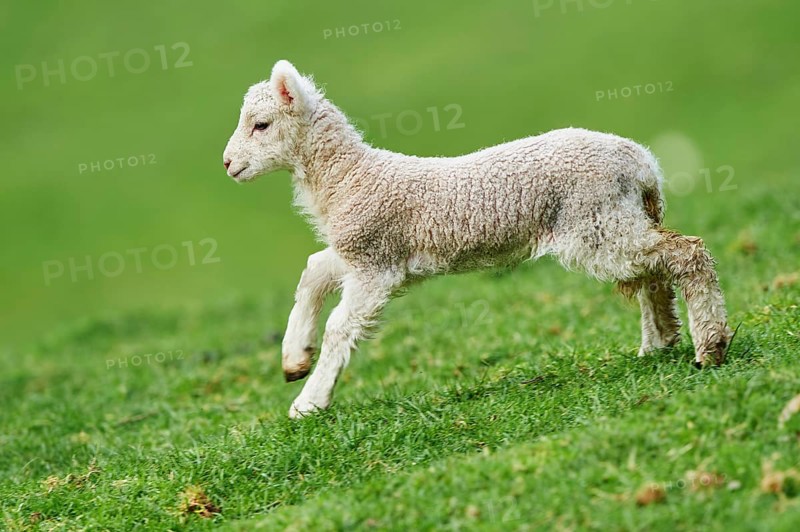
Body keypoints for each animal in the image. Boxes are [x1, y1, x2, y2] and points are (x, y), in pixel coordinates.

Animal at [223, 60, 732, 418]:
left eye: (261, 125)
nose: (227, 164)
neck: (349, 178)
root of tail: (643, 164)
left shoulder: (374, 263)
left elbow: (340, 328)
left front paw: (308, 403)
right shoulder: (361, 252)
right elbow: (312, 272)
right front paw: (294, 359)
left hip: (595, 225)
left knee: (686, 253)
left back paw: (710, 346)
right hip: (613, 220)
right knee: (654, 273)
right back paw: (660, 340)